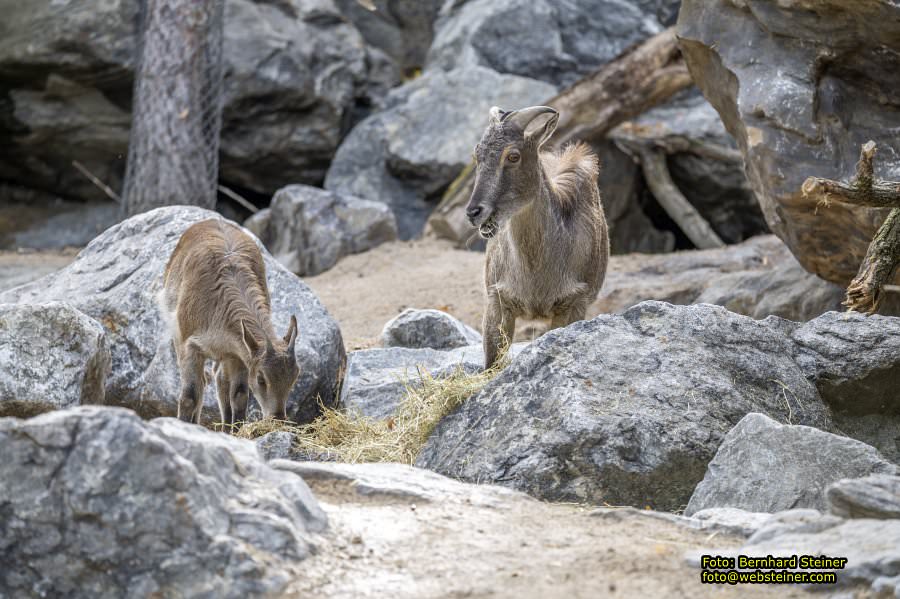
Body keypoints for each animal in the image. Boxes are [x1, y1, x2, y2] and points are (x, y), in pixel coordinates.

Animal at [160, 219, 300, 426]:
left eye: (295, 375)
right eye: (261, 378)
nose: (277, 418)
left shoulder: (238, 352)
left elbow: (239, 395)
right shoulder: (189, 345)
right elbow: (189, 397)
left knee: (220, 382)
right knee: (202, 385)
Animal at [464, 106, 612, 370]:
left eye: (513, 156)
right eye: (477, 154)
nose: (474, 212)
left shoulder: (573, 304)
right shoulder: (497, 301)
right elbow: (492, 361)